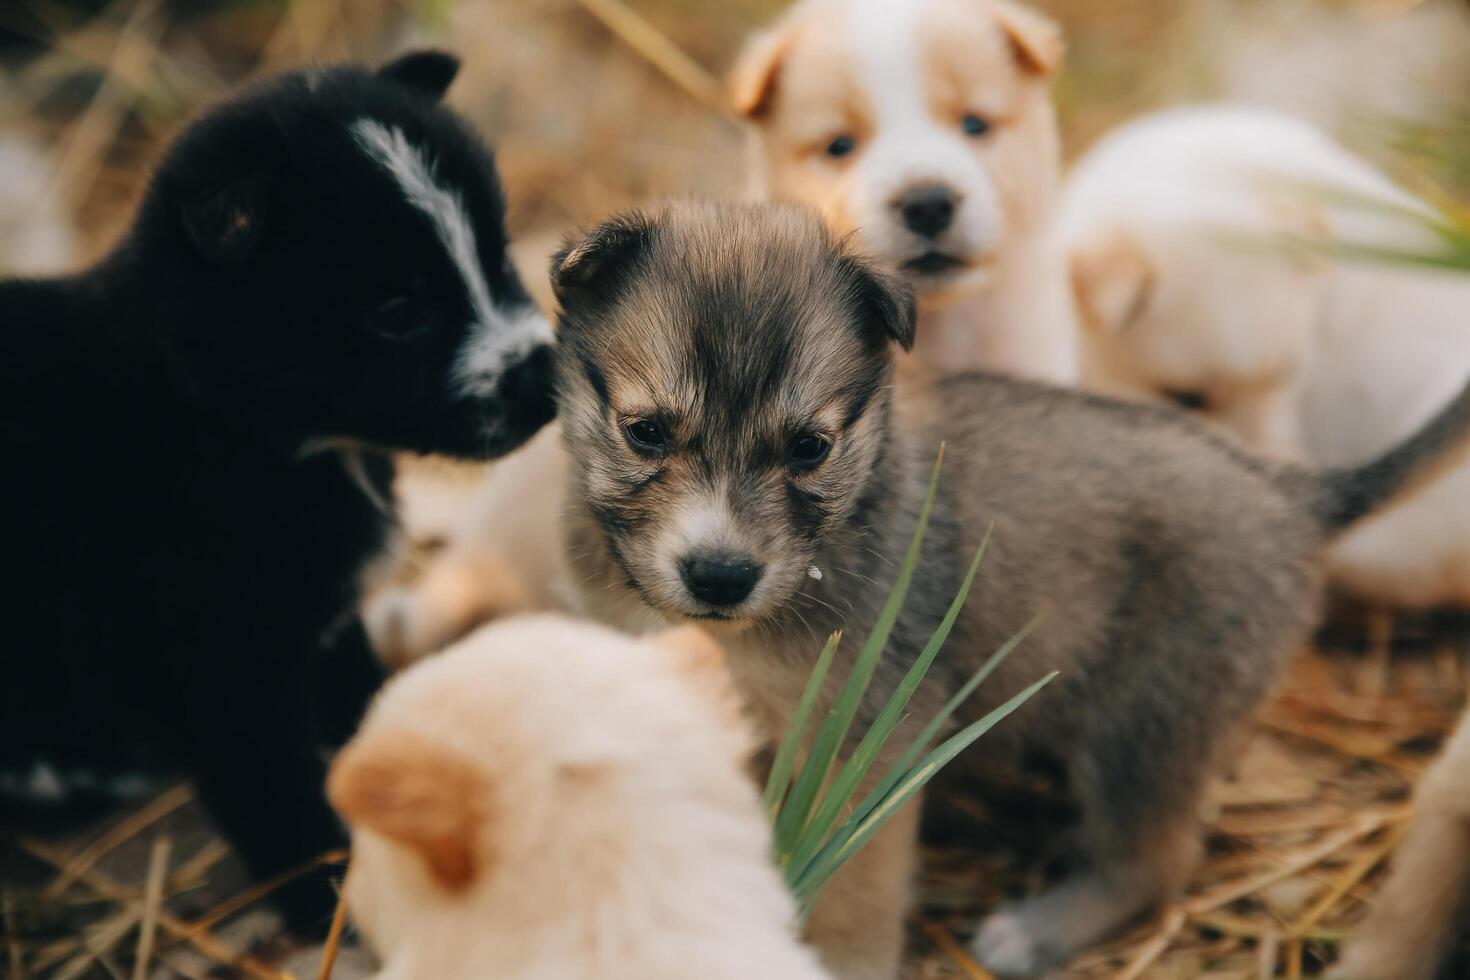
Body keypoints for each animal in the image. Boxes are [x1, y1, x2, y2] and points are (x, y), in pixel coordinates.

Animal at [1, 49, 552, 934]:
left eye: (498, 253)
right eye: (398, 312)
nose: (543, 376)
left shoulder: (326, 619)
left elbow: (371, 695)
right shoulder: (227, 666)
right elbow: (279, 798)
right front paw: (331, 902)